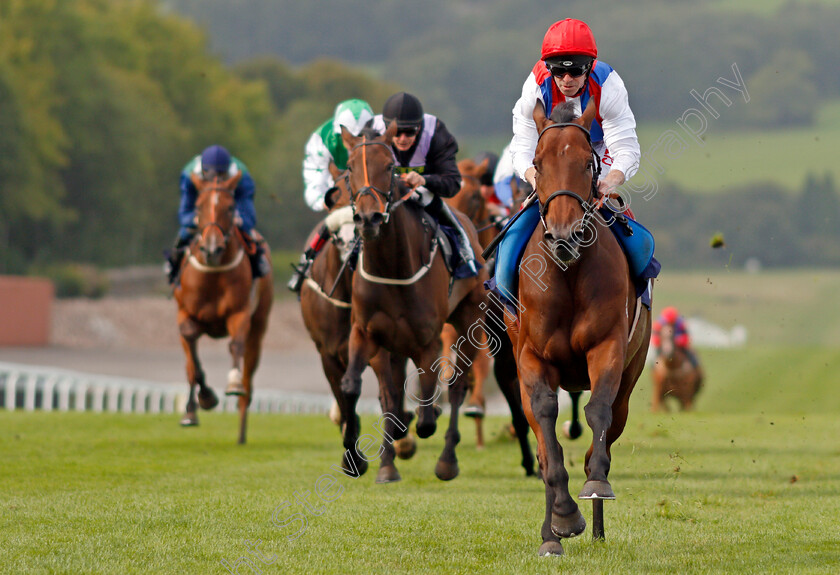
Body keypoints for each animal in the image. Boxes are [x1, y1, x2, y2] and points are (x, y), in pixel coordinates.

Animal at [173, 174, 272, 446]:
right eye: (198, 207)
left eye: (230, 207)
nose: (211, 249)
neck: (213, 273)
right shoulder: (184, 313)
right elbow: (191, 353)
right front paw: (203, 399)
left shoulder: (240, 313)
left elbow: (236, 345)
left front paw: (233, 384)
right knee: (189, 362)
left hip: (260, 325)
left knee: (249, 371)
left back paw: (241, 427)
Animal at [340, 124, 506, 484]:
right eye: (349, 168)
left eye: (389, 166)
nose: (369, 218)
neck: (392, 267)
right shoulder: (365, 333)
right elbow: (353, 387)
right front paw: (356, 458)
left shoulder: (428, 340)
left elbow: (429, 407)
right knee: (392, 393)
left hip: (468, 319)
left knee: (457, 386)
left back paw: (447, 460)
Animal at [508, 101, 652, 556]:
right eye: (538, 163)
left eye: (588, 164)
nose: (564, 236)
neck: (568, 272)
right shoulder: (531, 358)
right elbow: (546, 429)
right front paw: (563, 518)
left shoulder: (607, 347)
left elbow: (598, 412)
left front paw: (596, 485)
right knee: (542, 445)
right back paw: (550, 533)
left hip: (631, 376)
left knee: (610, 423)